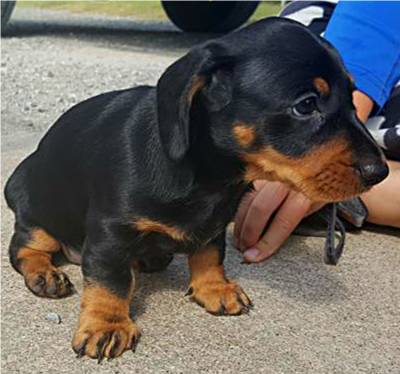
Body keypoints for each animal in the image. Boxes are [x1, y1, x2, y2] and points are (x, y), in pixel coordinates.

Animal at [4, 17, 390, 360]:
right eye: (306, 104)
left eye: (353, 99)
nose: (381, 172)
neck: (213, 180)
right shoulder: (111, 233)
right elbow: (109, 280)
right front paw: (107, 325)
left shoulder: (214, 224)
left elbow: (209, 255)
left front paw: (214, 289)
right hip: (38, 216)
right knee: (24, 248)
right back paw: (46, 274)